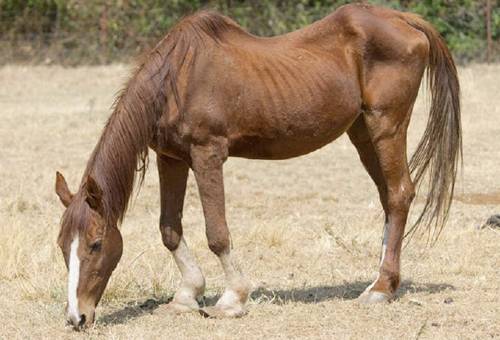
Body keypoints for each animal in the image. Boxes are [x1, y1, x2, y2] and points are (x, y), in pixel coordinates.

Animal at [54, 3, 460, 330]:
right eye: (61, 245)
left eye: (95, 244)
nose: (77, 317)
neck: (177, 79)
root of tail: (405, 19)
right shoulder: (170, 158)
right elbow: (169, 229)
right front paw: (187, 295)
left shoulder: (207, 155)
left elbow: (217, 233)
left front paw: (232, 299)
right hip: (362, 133)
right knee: (389, 197)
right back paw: (381, 281)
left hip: (386, 126)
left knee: (399, 194)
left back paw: (380, 289)